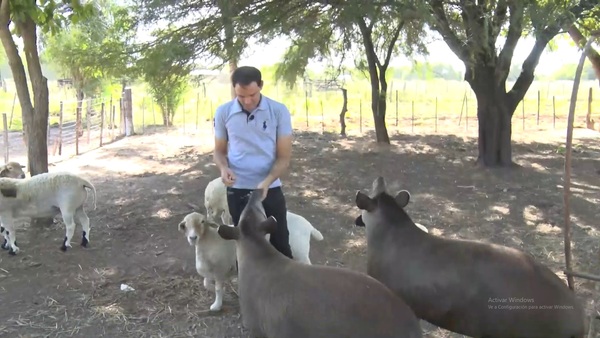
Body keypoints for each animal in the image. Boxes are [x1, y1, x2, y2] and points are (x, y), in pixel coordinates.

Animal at [177, 211, 324, 312]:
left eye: (202, 221)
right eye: (185, 225)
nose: (193, 238)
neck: (209, 241)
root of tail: (309, 226)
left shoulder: (220, 270)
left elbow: (218, 289)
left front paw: (217, 305)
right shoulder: (211, 271)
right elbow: (206, 284)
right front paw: (225, 294)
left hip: (301, 253)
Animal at [217, 189, 422, 338]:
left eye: (260, 209)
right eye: (254, 210)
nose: (255, 192)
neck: (258, 253)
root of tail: (413, 327)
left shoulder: (258, 328)